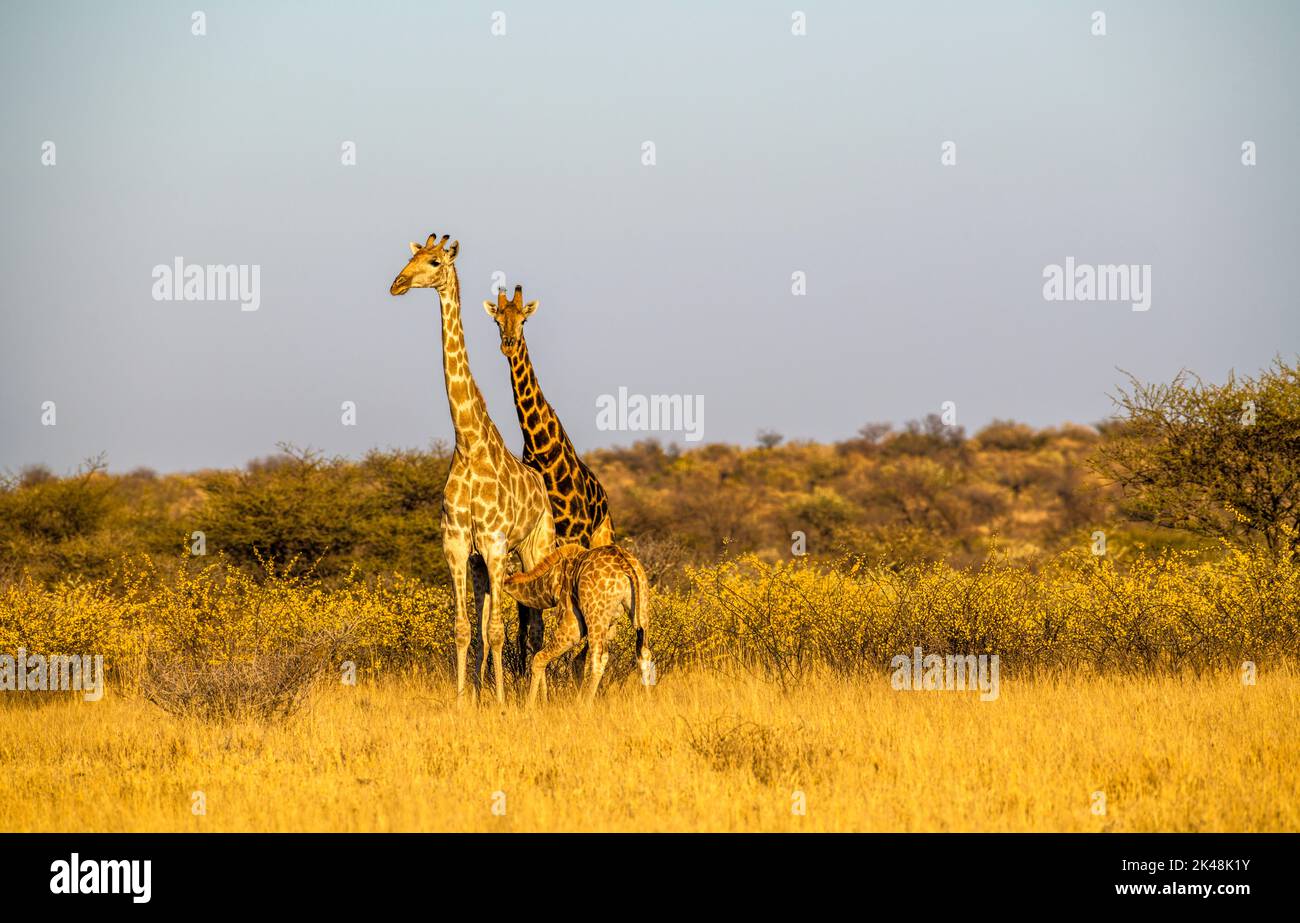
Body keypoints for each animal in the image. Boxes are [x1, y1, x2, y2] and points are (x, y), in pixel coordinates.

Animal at [382, 235, 551, 707]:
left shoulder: (493, 544)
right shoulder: (458, 546)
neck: (468, 442)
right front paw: (464, 699)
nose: (397, 284)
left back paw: (536, 696)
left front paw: (501, 702)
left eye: (434, 262)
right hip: (484, 564)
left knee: (538, 620)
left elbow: (496, 630)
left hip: (533, 547)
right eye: (411, 257)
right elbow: (464, 628)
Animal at [501, 546, 655, 707]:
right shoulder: (610, 627)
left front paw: (529, 706)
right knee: (644, 653)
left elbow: (539, 658)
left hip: (596, 616)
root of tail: (624, 563)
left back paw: (587, 705)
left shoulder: (571, 625)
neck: (548, 583)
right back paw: (648, 701)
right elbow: (577, 661)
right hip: (641, 610)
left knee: (599, 659)